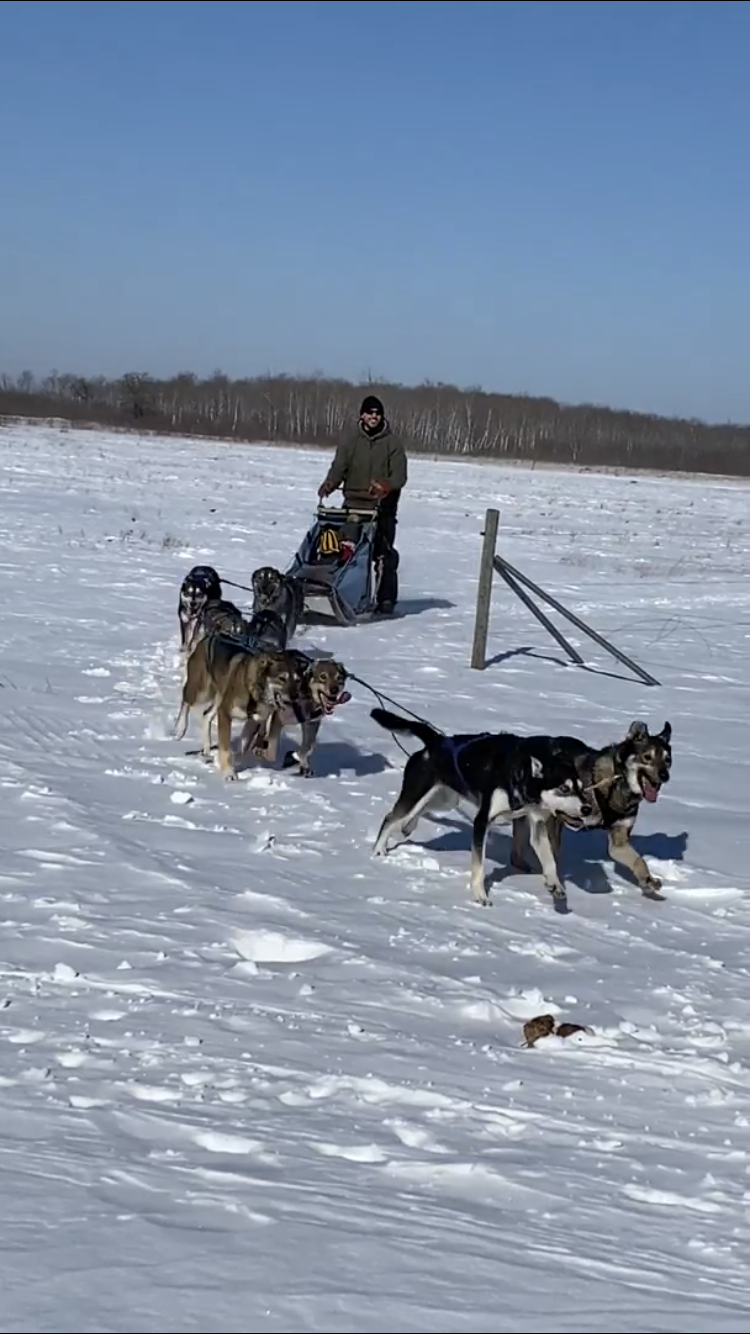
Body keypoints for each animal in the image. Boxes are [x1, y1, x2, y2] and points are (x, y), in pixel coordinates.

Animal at [368, 709, 589, 907]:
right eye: (564, 788)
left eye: (581, 787)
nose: (587, 809)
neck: (520, 773)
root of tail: (437, 741)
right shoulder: (482, 821)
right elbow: (479, 865)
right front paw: (480, 895)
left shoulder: (537, 823)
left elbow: (549, 859)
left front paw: (555, 884)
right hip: (417, 792)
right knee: (391, 817)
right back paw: (379, 848)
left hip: (447, 799)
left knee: (419, 811)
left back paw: (408, 826)